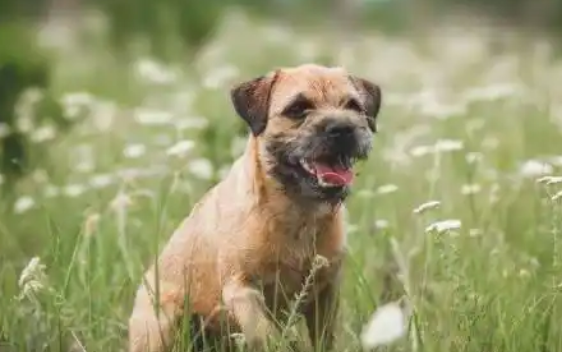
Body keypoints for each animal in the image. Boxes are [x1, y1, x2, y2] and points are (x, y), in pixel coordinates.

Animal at [127, 64, 380, 352]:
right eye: (297, 108)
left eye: (354, 106)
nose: (342, 127)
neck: (298, 210)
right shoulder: (242, 290)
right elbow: (264, 333)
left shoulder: (327, 292)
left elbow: (326, 338)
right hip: (162, 324)